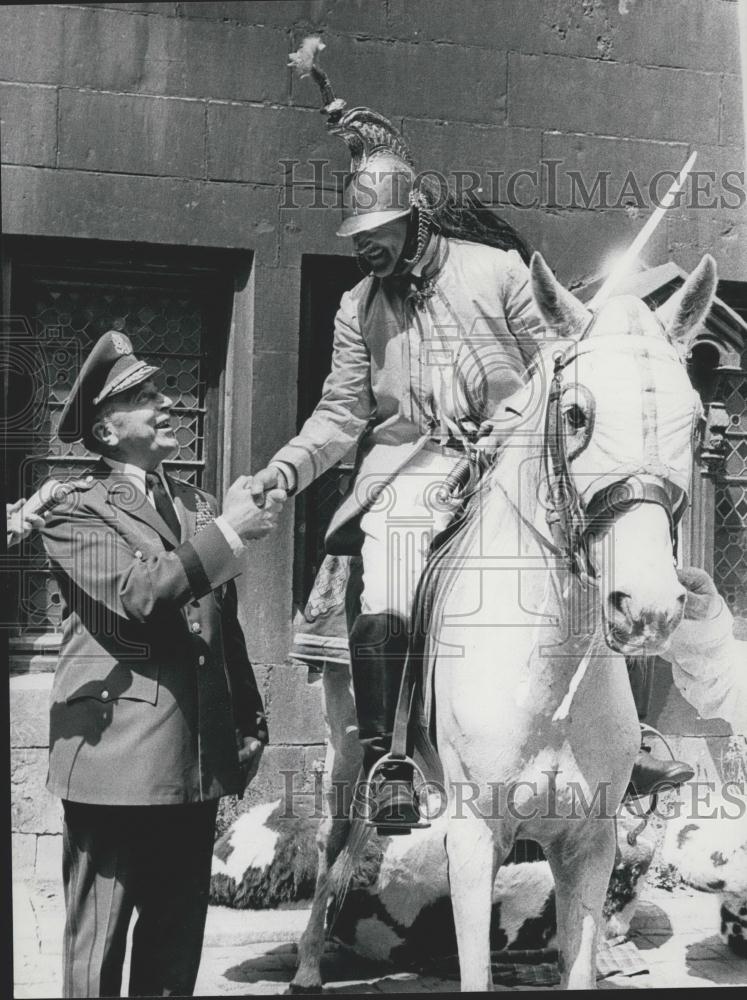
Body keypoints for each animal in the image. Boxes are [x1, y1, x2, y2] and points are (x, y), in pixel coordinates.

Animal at [292, 252, 720, 992]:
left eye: (695, 423)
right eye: (575, 414)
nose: (647, 607)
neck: (551, 678)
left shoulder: (588, 843)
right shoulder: (473, 837)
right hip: (345, 751)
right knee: (332, 844)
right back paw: (309, 964)